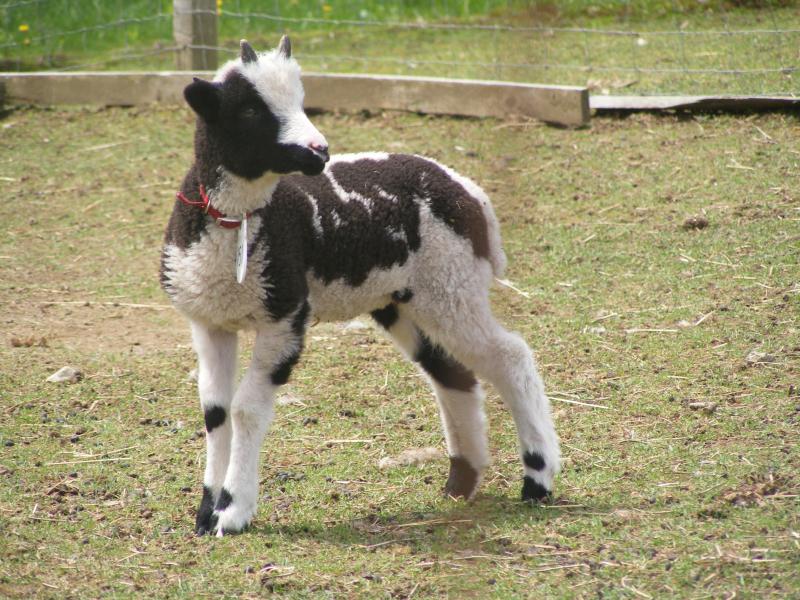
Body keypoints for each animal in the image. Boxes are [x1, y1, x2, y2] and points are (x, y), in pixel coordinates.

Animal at [160, 37, 560, 536]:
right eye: (250, 109)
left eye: (301, 99)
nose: (319, 151)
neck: (241, 220)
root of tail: (472, 195)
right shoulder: (209, 319)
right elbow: (214, 412)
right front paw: (206, 511)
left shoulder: (285, 316)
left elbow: (246, 408)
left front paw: (233, 512)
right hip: (407, 298)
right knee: (452, 372)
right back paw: (461, 482)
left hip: (452, 283)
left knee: (510, 357)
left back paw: (538, 478)